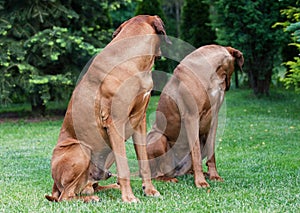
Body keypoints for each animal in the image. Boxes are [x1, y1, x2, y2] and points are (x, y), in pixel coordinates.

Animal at [44, 15, 171, 203]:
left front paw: (150, 190)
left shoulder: (139, 121)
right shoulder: (115, 123)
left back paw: (106, 188)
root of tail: (54, 186)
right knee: (66, 196)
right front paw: (129, 198)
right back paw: (90, 199)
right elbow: (124, 168)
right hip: (82, 149)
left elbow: (144, 163)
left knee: (88, 187)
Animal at [147, 44, 244, 187]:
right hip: (159, 138)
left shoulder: (214, 119)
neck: (213, 74)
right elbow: (196, 154)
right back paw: (169, 178)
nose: (228, 86)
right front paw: (201, 182)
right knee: (157, 174)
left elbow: (211, 153)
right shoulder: (192, 117)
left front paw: (214, 176)